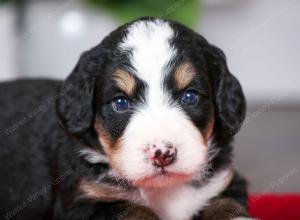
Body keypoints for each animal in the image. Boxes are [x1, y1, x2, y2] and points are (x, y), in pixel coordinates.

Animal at [0, 17, 248, 220]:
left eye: (190, 96)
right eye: (120, 103)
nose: (162, 154)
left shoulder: (224, 182)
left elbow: (227, 204)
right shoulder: (84, 201)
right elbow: (133, 209)